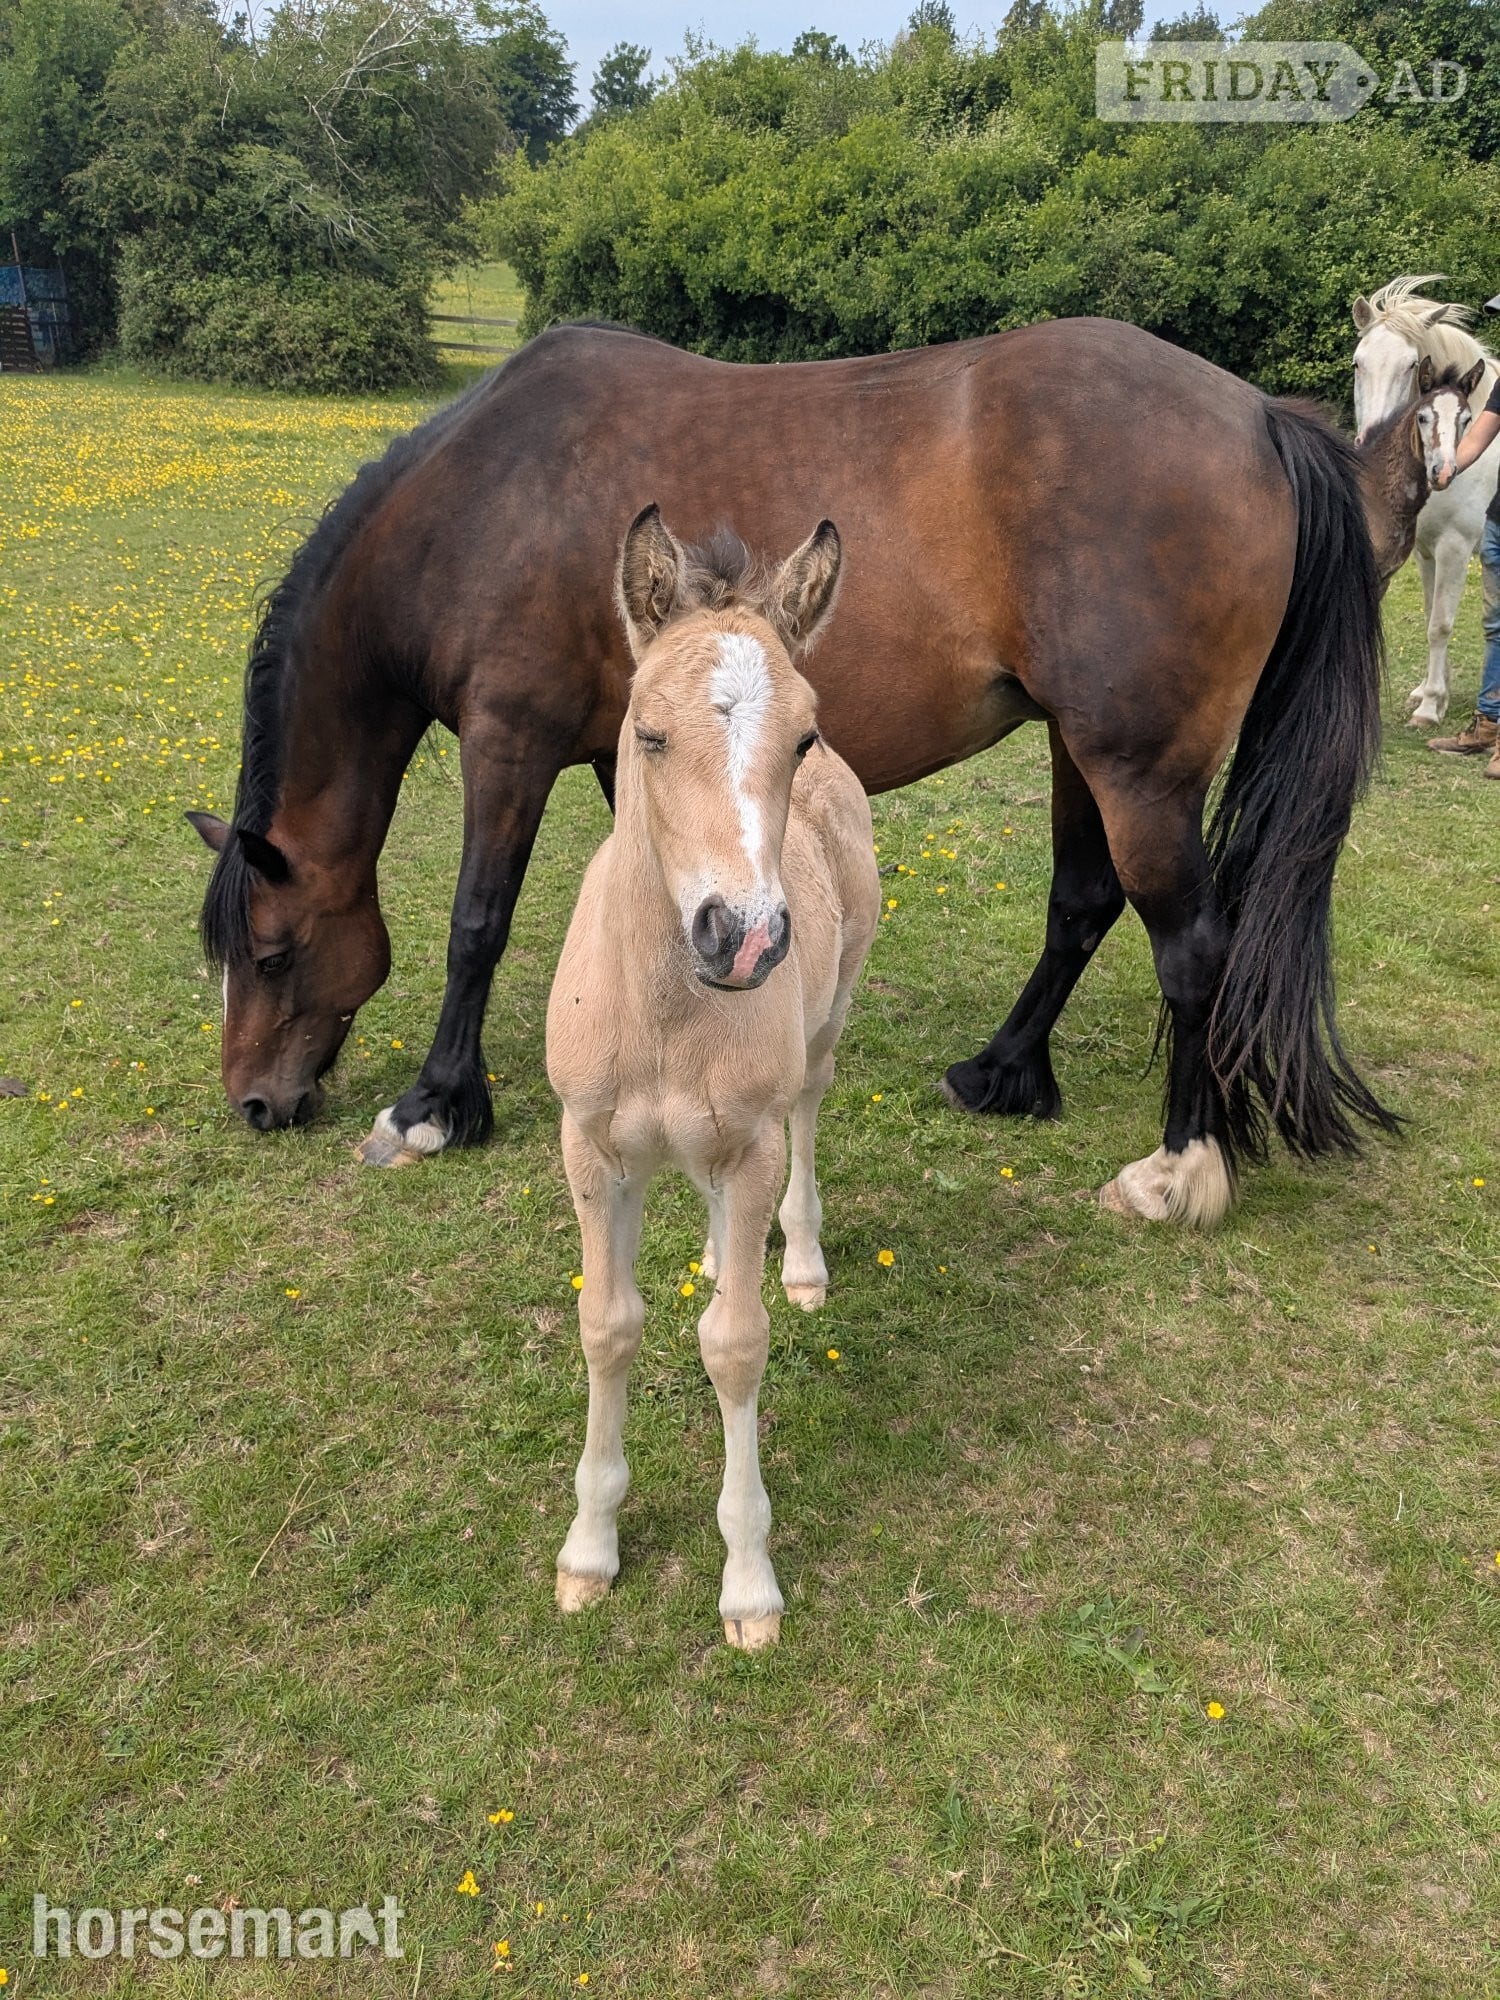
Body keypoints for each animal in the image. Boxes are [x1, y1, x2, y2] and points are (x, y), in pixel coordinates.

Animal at [188, 314, 1398, 1229]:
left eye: (274, 952)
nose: (255, 1103)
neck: (483, 503)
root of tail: (1259, 417)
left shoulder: (509, 739)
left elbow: (474, 924)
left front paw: (436, 1105)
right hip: (1079, 748)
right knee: (1083, 904)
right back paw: (1002, 1072)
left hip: (1136, 770)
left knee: (1192, 951)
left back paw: (1179, 1167)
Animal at [548, 508, 879, 1651]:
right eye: (647, 732)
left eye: (801, 737)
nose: (745, 937)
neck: (663, 1019)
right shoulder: (590, 1145)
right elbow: (607, 1326)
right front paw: (588, 1552)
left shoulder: (751, 1145)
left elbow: (735, 1343)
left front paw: (748, 1584)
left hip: (821, 1035)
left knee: (812, 1113)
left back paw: (804, 1260)